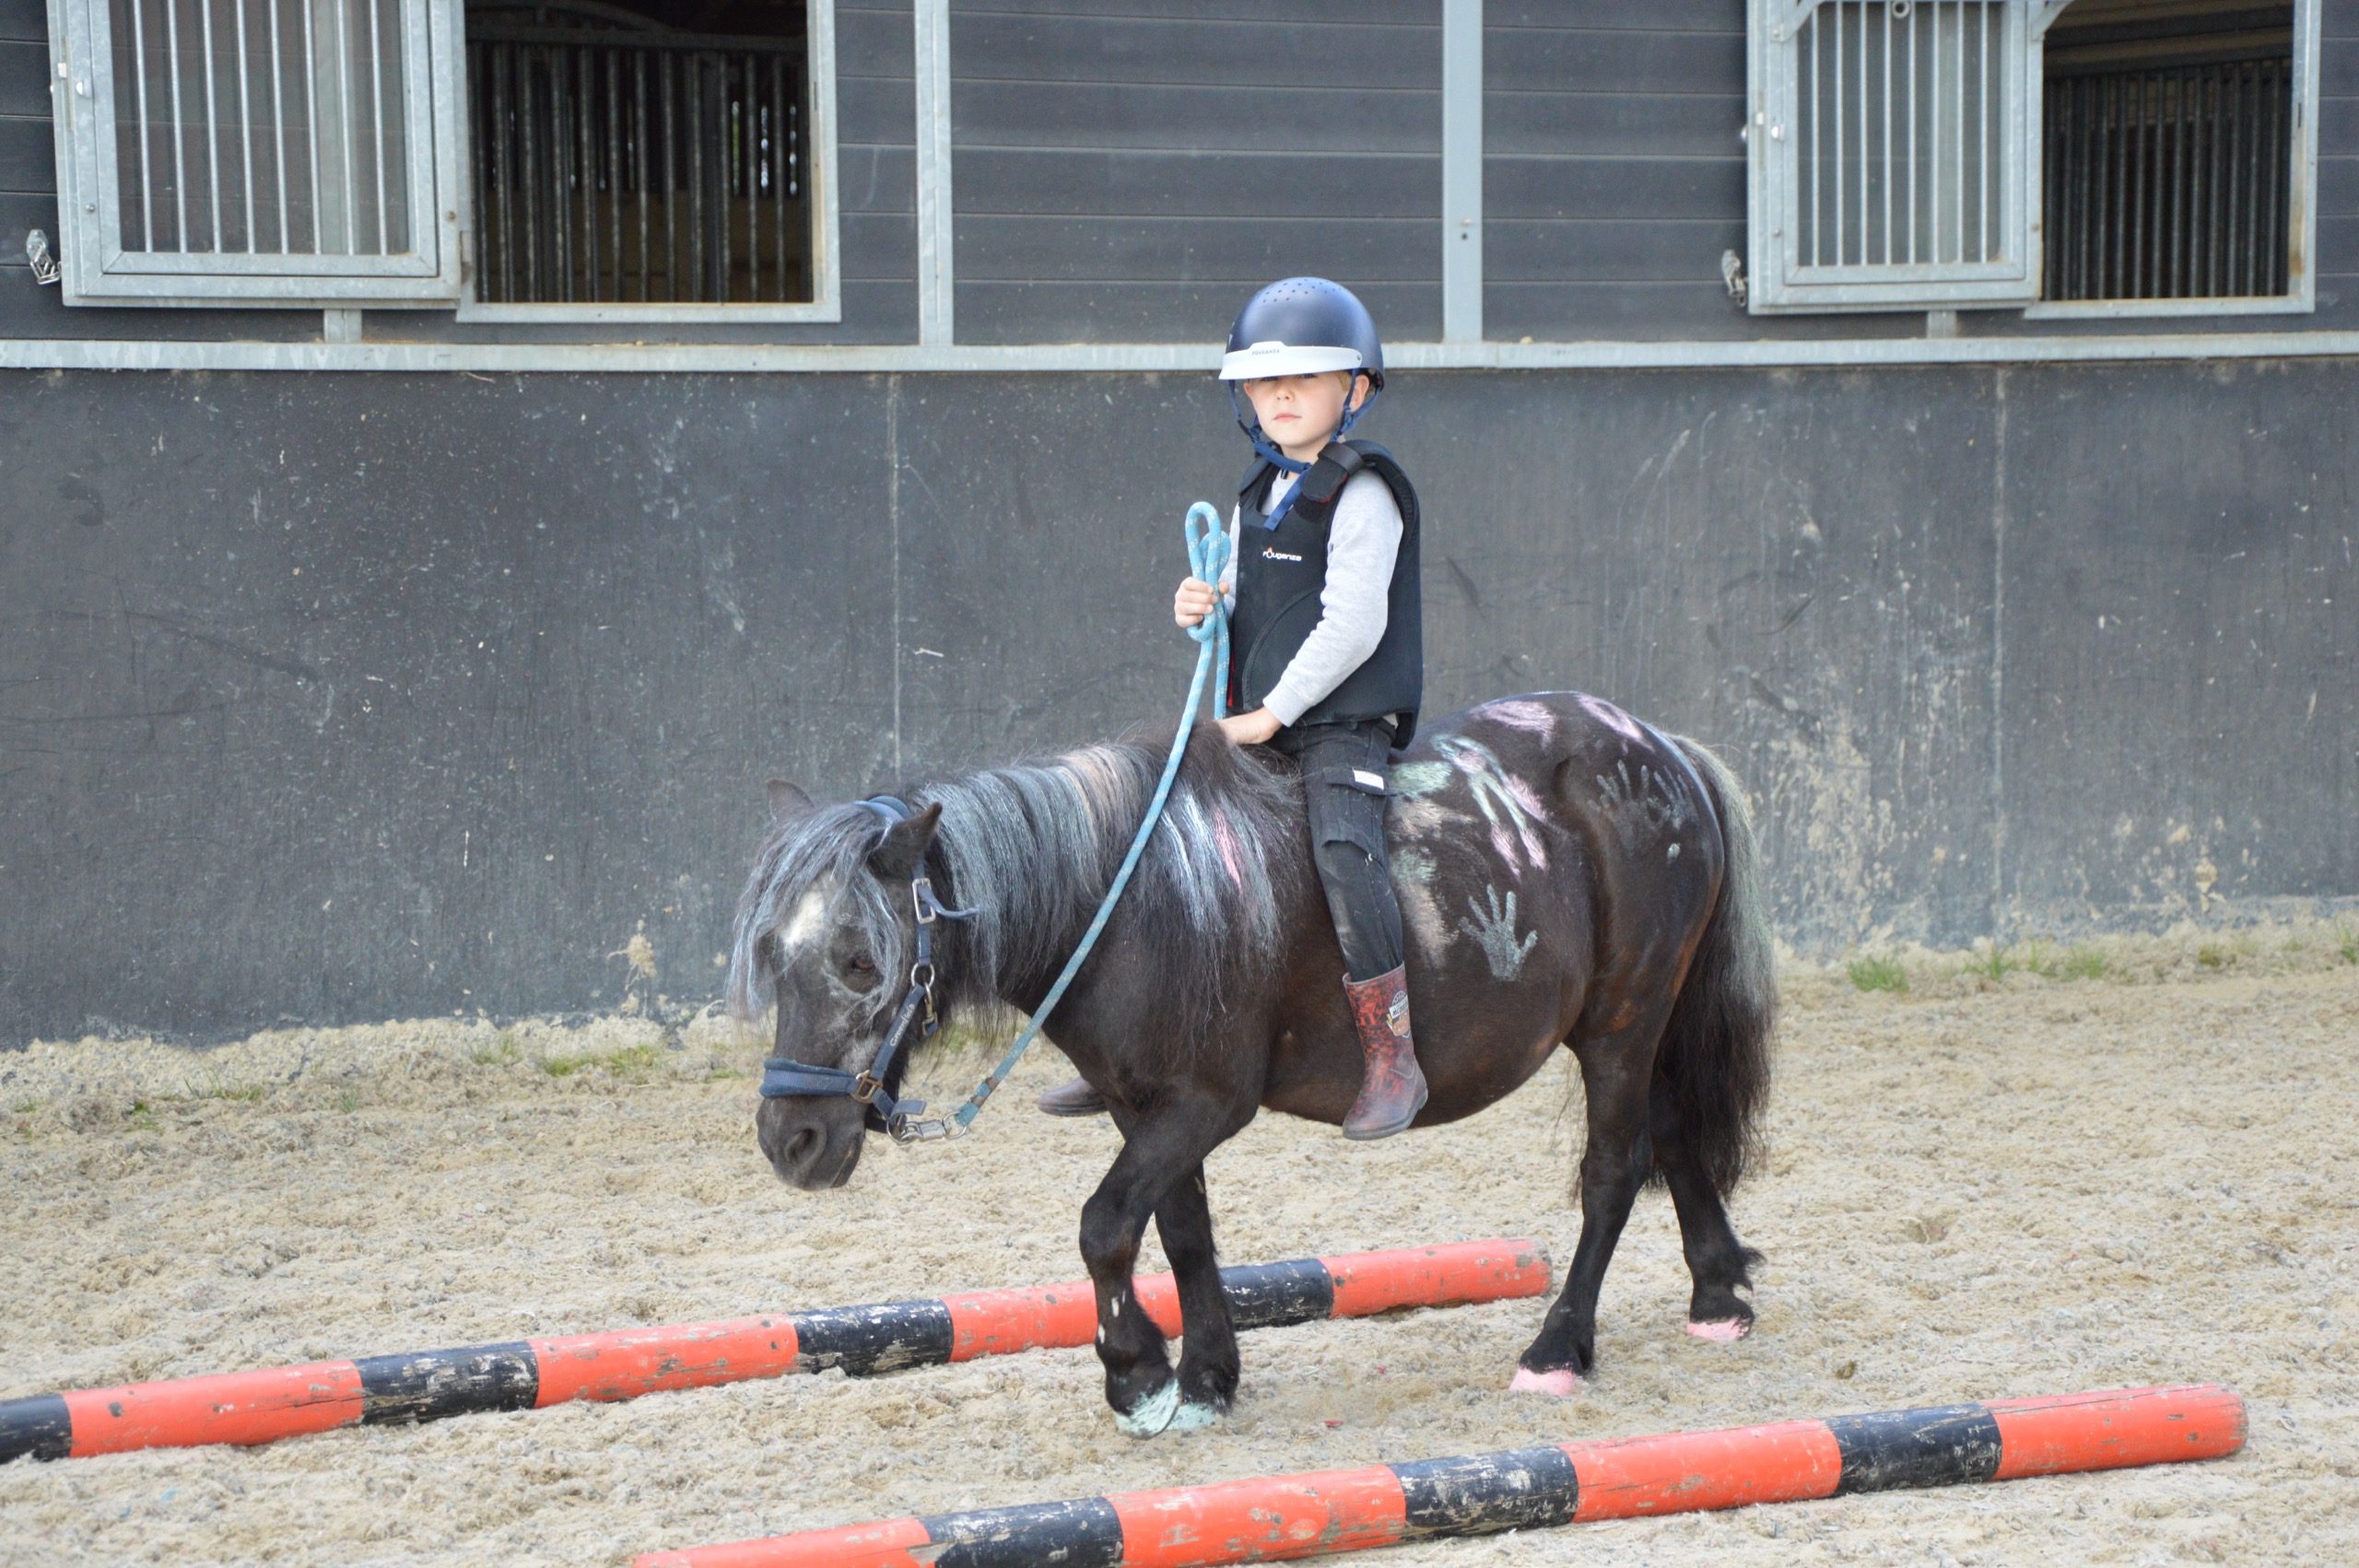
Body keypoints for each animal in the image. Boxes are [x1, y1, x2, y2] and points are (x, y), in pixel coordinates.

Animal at [730, 691, 1775, 1433]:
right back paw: (1717, 1290)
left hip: (1621, 1021)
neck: (1136, 898)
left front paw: (1138, 1373)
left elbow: (1104, 1225)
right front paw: (1205, 1375)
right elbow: (1182, 1232)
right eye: (775, 955)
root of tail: (1659, 747)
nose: (792, 1140)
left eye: (860, 961)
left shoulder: (1204, 1102)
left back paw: (1558, 1347)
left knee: (1613, 1171)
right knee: (1672, 1132)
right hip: (1643, 1022)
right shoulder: (1144, 1104)